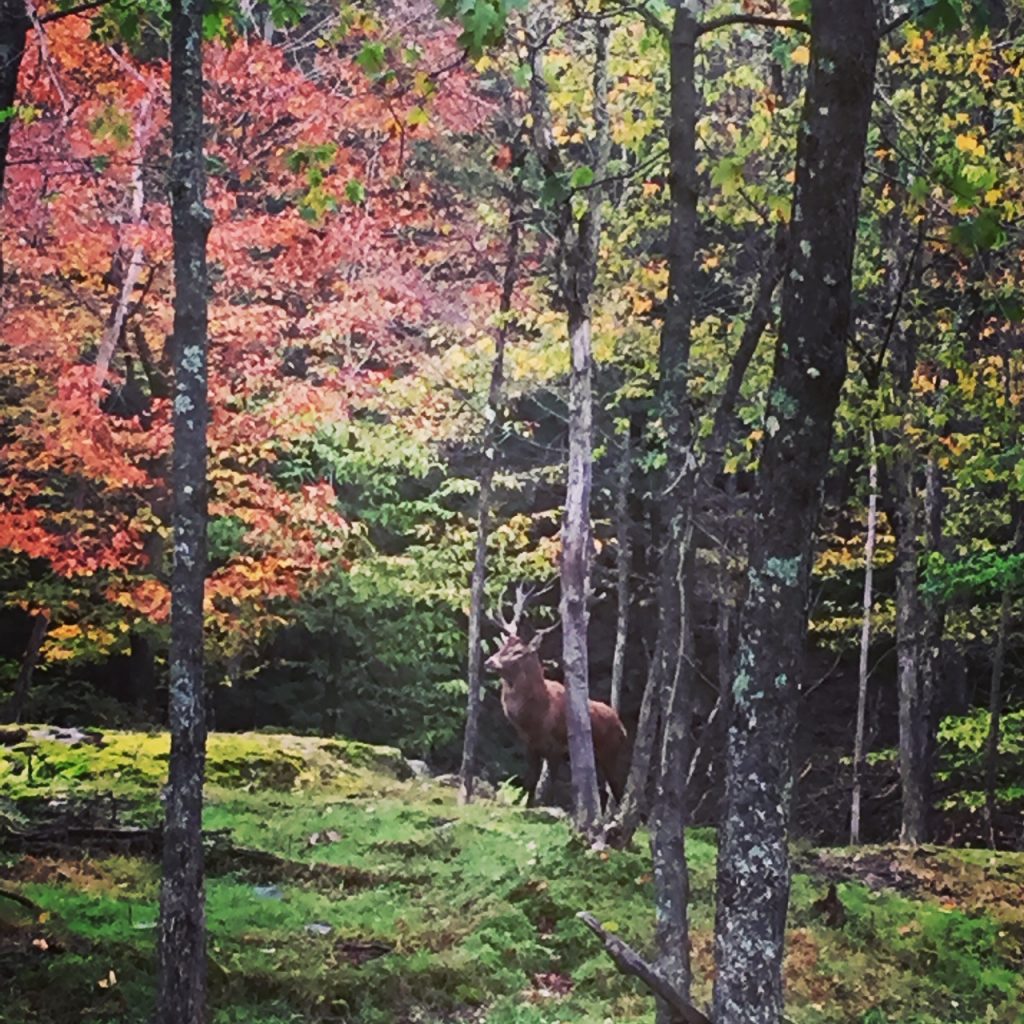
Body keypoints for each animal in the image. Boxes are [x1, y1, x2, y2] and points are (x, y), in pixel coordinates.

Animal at [483, 585, 626, 806]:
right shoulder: (530, 747)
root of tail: (622, 727)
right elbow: (531, 781)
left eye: (517, 651)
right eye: (502, 647)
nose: (489, 661)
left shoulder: (556, 748)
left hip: (612, 751)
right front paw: (527, 806)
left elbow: (552, 786)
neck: (536, 718)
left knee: (618, 789)